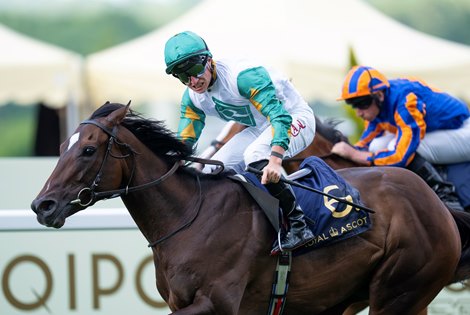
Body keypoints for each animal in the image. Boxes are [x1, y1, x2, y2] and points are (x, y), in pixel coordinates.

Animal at [32, 102, 470, 314]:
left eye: (89, 150)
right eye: (62, 147)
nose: (42, 205)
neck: (187, 217)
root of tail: (437, 204)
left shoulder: (217, 303)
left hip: (399, 290)